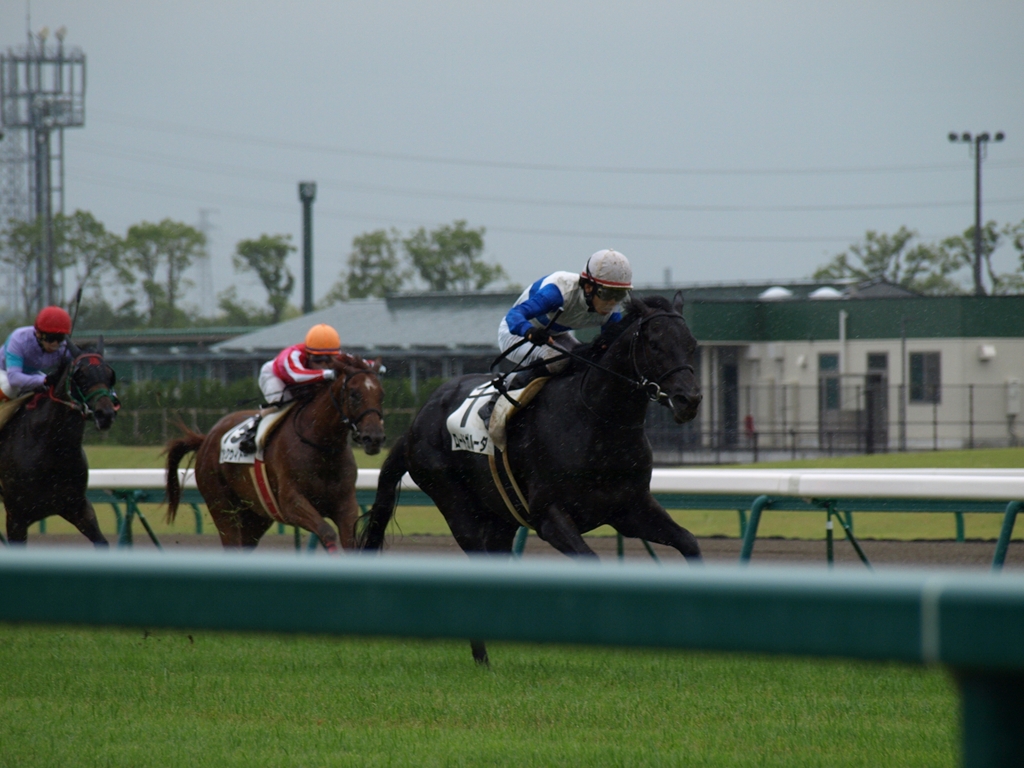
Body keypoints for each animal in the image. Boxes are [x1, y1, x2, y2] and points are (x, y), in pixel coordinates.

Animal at [0, 339, 120, 545]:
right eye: (80, 374)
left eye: (110, 374)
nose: (105, 414)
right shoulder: (17, 516)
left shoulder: (77, 507)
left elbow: (101, 541)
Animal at [165, 357, 385, 552]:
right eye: (354, 394)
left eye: (381, 393)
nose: (374, 438)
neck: (321, 444)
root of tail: (206, 439)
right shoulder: (290, 503)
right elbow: (327, 532)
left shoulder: (345, 503)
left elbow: (351, 541)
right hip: (222, 506)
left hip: (256, 515)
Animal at [359, 294, 702, 662]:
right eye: (655, 344)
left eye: (691, 344)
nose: (689, 400)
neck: (596, 420)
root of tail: (415, 423)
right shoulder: (548, 515)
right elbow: (590, 559)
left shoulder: (629, 509)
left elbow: (689, 542)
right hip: (453, 501)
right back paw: (481, 655)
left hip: (501, 516)